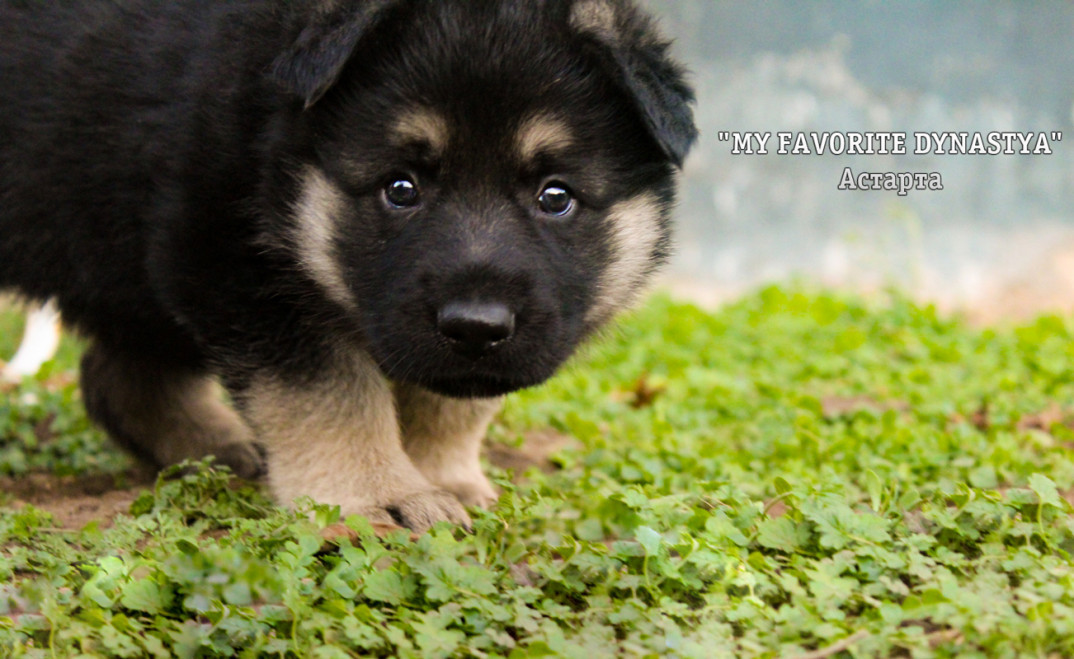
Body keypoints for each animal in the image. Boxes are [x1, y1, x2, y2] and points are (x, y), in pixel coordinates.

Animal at [0, 0, 700, 530]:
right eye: (401, 188)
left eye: (556, 197)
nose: (476, 327)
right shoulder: (234, 263)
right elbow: (329, 391)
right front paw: (381, 493)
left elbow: (450, 400)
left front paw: (442, 473)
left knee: (117, 375)